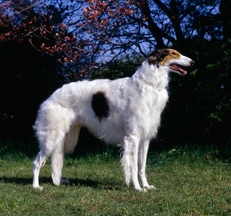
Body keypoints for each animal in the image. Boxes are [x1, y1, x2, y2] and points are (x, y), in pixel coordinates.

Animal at [32, 49, 194, 192]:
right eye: (174, 53)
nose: (193, 62)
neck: (148, 84)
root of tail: (50, 97)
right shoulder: (132, 137)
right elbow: (133, 167)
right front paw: (138, 188)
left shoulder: (145, 138)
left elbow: (142, 167)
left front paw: (146, 186)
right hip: (52, 137)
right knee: (37, 162)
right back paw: (35, 186)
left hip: (66, 139)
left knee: (55, 161)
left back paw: (59, 181)